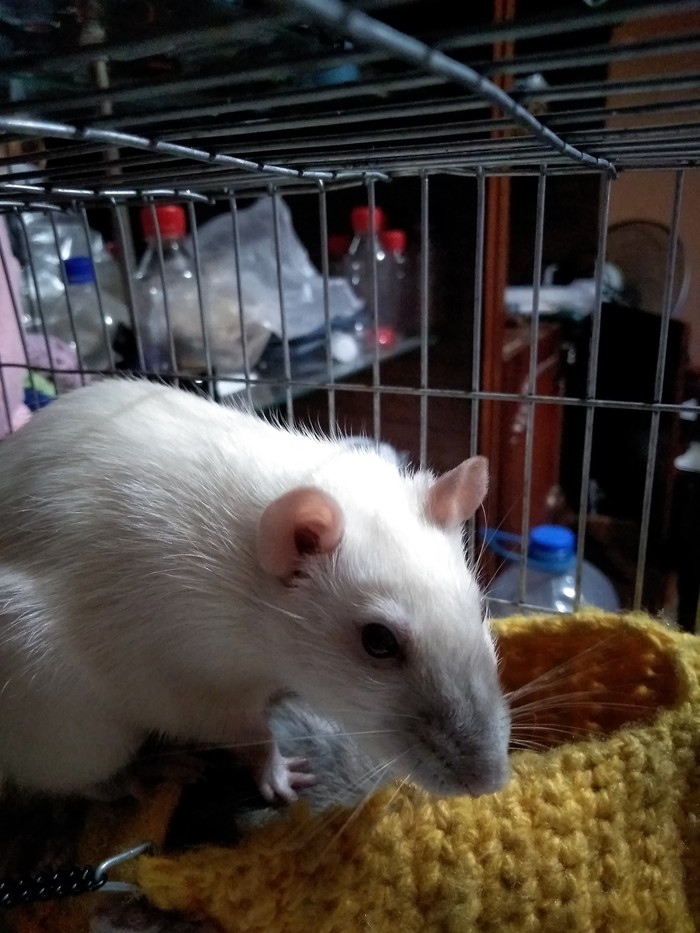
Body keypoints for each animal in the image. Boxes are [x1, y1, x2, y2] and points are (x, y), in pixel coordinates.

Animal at [0, 379, 510, 802]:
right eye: (378, 641)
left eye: (478, 607)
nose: (490, 781)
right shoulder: (186, 665)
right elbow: (234, 726)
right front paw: (274, 768)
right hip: (60, 718)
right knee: (78, 780)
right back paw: (142, 776)